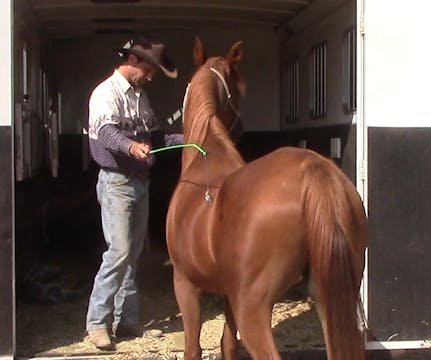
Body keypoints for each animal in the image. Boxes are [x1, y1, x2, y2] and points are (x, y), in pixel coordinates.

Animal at [165, 38, 368, 360]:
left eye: (239, 87)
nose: (241, 128)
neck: (206, 154)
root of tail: (313, 171)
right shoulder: (227, 293)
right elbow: (228, 344)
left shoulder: (185, 285)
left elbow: (193, 349)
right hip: (332, 297)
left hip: (253, 308)